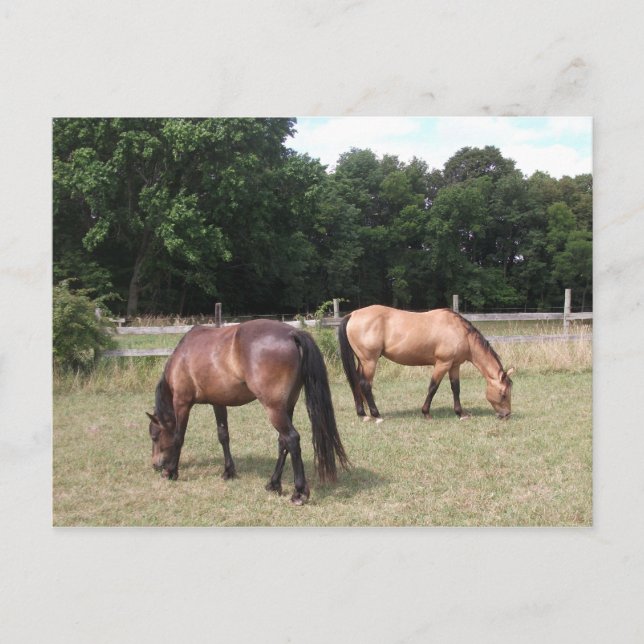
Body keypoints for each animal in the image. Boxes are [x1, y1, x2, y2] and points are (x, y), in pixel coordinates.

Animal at [146, 319, 349, 505]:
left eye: (154, 436)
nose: (155, 465)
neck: (181, 357)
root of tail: (292, 334)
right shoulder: (218, 402)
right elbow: (223, 435)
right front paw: (228, 471)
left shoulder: (182, 402)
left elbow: (178, 437)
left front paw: (171, 471)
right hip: (286, 406)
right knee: (283, 442)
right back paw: (273, 484)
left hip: (274, 408)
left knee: (291, 439)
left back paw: (298, 493)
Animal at [338, 305, 514, 422]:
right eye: (503, 394)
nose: (506, 415)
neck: (460, 332)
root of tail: (353, 315)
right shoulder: (443, 363)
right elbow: (433, 387)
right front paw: (426, 412)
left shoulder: (454, 365)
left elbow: (456, 388)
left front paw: (460, 413)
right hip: (369, 361)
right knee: (365, 384)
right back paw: (376, 415)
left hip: (362, 361)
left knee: (356, 382)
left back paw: (363, 414)